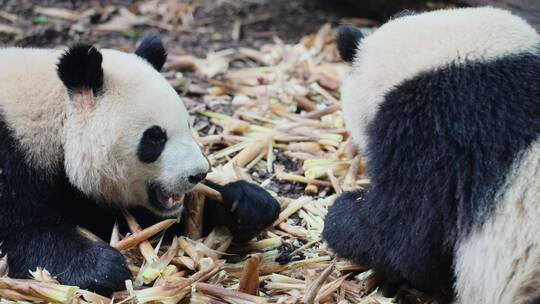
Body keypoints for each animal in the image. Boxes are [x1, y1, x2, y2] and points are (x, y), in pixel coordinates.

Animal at [0, 36, 280, 296]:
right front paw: (99, 267)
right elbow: (20, 231)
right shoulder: (9, 158)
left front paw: (248, 203)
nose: (198, 174)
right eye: (155, 138)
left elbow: (139, 220)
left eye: (188, 125)